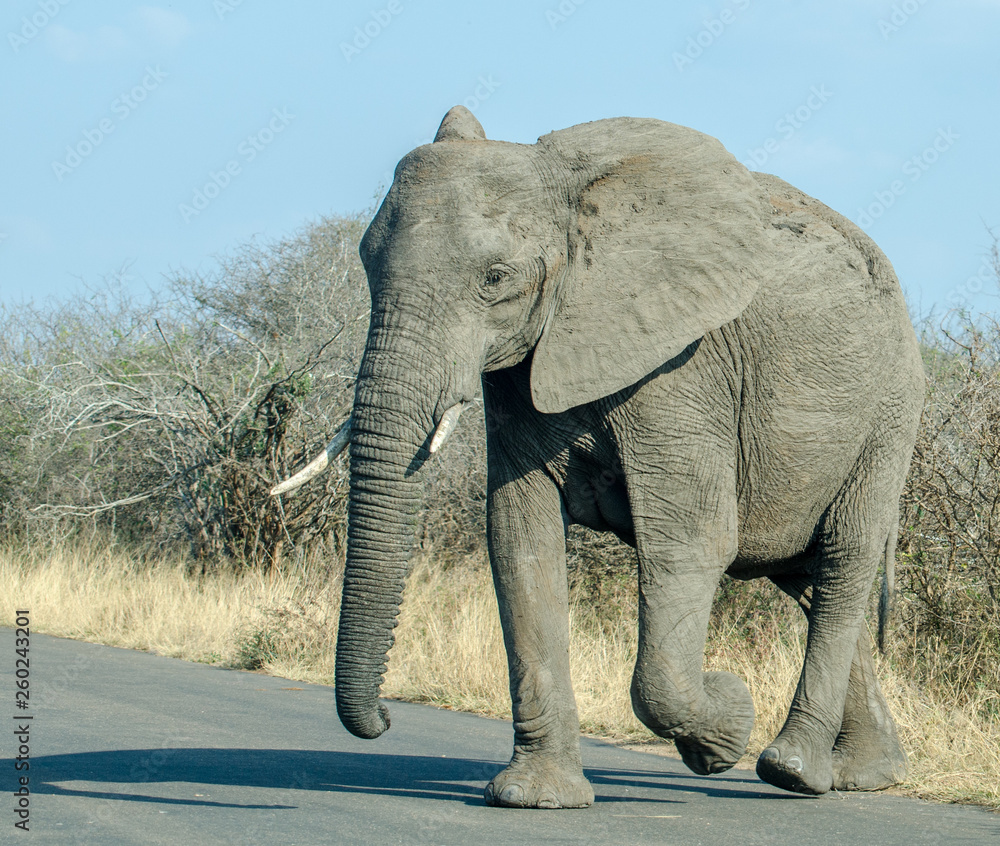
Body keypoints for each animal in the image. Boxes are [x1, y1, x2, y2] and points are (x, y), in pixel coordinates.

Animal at [272, 106, 924, 806]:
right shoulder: (523, 365)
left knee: (844, 560)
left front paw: (725, 723)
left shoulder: (681, 365)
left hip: (888, 414)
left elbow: (694, 543)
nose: (387, 718)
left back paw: (791, 769)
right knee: (806, 578)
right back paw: (863, 775)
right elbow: (520, 539)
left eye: (496, 279)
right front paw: (534, 798)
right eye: (366, 264)